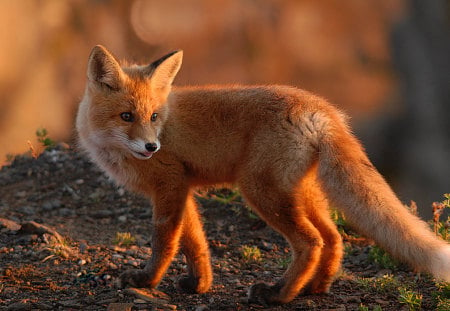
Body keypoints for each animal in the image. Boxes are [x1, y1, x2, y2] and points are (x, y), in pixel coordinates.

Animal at [75, 45, 448, 306]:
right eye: (126, 116)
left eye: (153, 116)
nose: (152, 146)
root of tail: (322, 109)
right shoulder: (184, 189)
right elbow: (195, 242)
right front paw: (199, 284)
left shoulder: (169, 185)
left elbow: (164, 242)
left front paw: (146, 281)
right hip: (302, 194)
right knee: (333, 238)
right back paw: (314, 288)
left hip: (261, 191)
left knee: (311, 242)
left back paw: (279, 295)